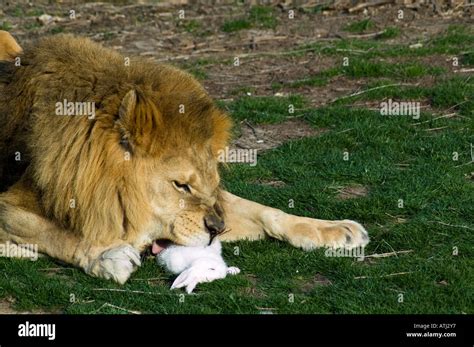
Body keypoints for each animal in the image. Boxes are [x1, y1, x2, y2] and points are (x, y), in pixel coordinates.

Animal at [0, 31, 368, 284]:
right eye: (180, 185)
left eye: (210, 183)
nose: (218, 229)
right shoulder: (10, 201)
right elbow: (54, 232)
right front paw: (105, 256)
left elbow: (266, 211)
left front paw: (338, 230)